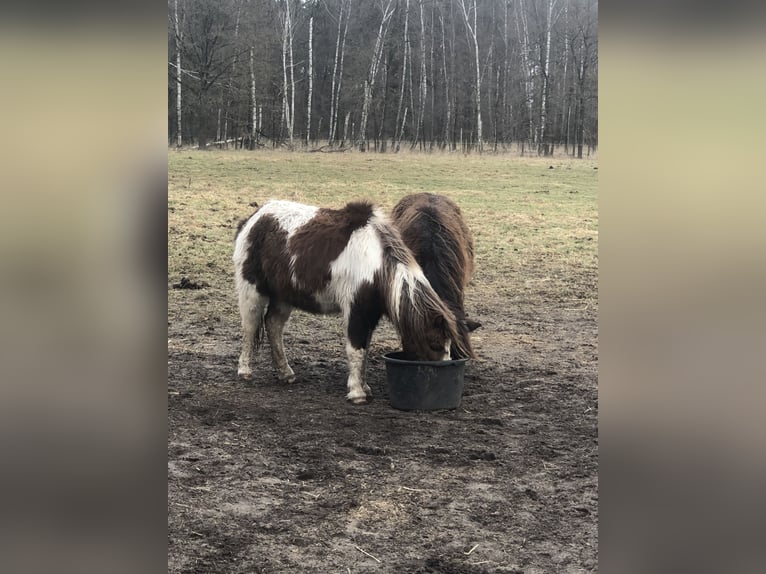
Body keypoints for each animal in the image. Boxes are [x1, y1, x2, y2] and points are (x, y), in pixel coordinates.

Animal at [232, 200, 468, 408]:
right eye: (435, 343)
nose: (445, 374)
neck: (377, 265)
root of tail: (253, 219)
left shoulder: (371, 314)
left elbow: (365, 350)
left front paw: (365, 387)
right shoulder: (356, 310)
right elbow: (356, 349)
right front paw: (357, 393)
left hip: (283, 297)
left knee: (273, 326)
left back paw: (285, 373)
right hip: (252, 291)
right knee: (250, 327)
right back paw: (245, 372)